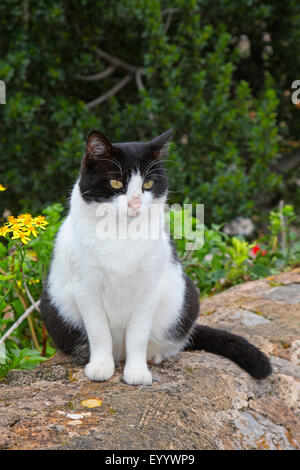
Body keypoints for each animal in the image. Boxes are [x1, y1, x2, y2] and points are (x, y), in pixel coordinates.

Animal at [39, 126, 272, 384]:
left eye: (148, 183)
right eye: (116, 182)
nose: (134, 203)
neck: (121, 234)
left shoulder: (149, 288)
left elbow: (137, 335)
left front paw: (137, 372)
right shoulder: (85, 288)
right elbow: (99, 332)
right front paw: (100, 366)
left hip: (186, 298)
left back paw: (154, 356)